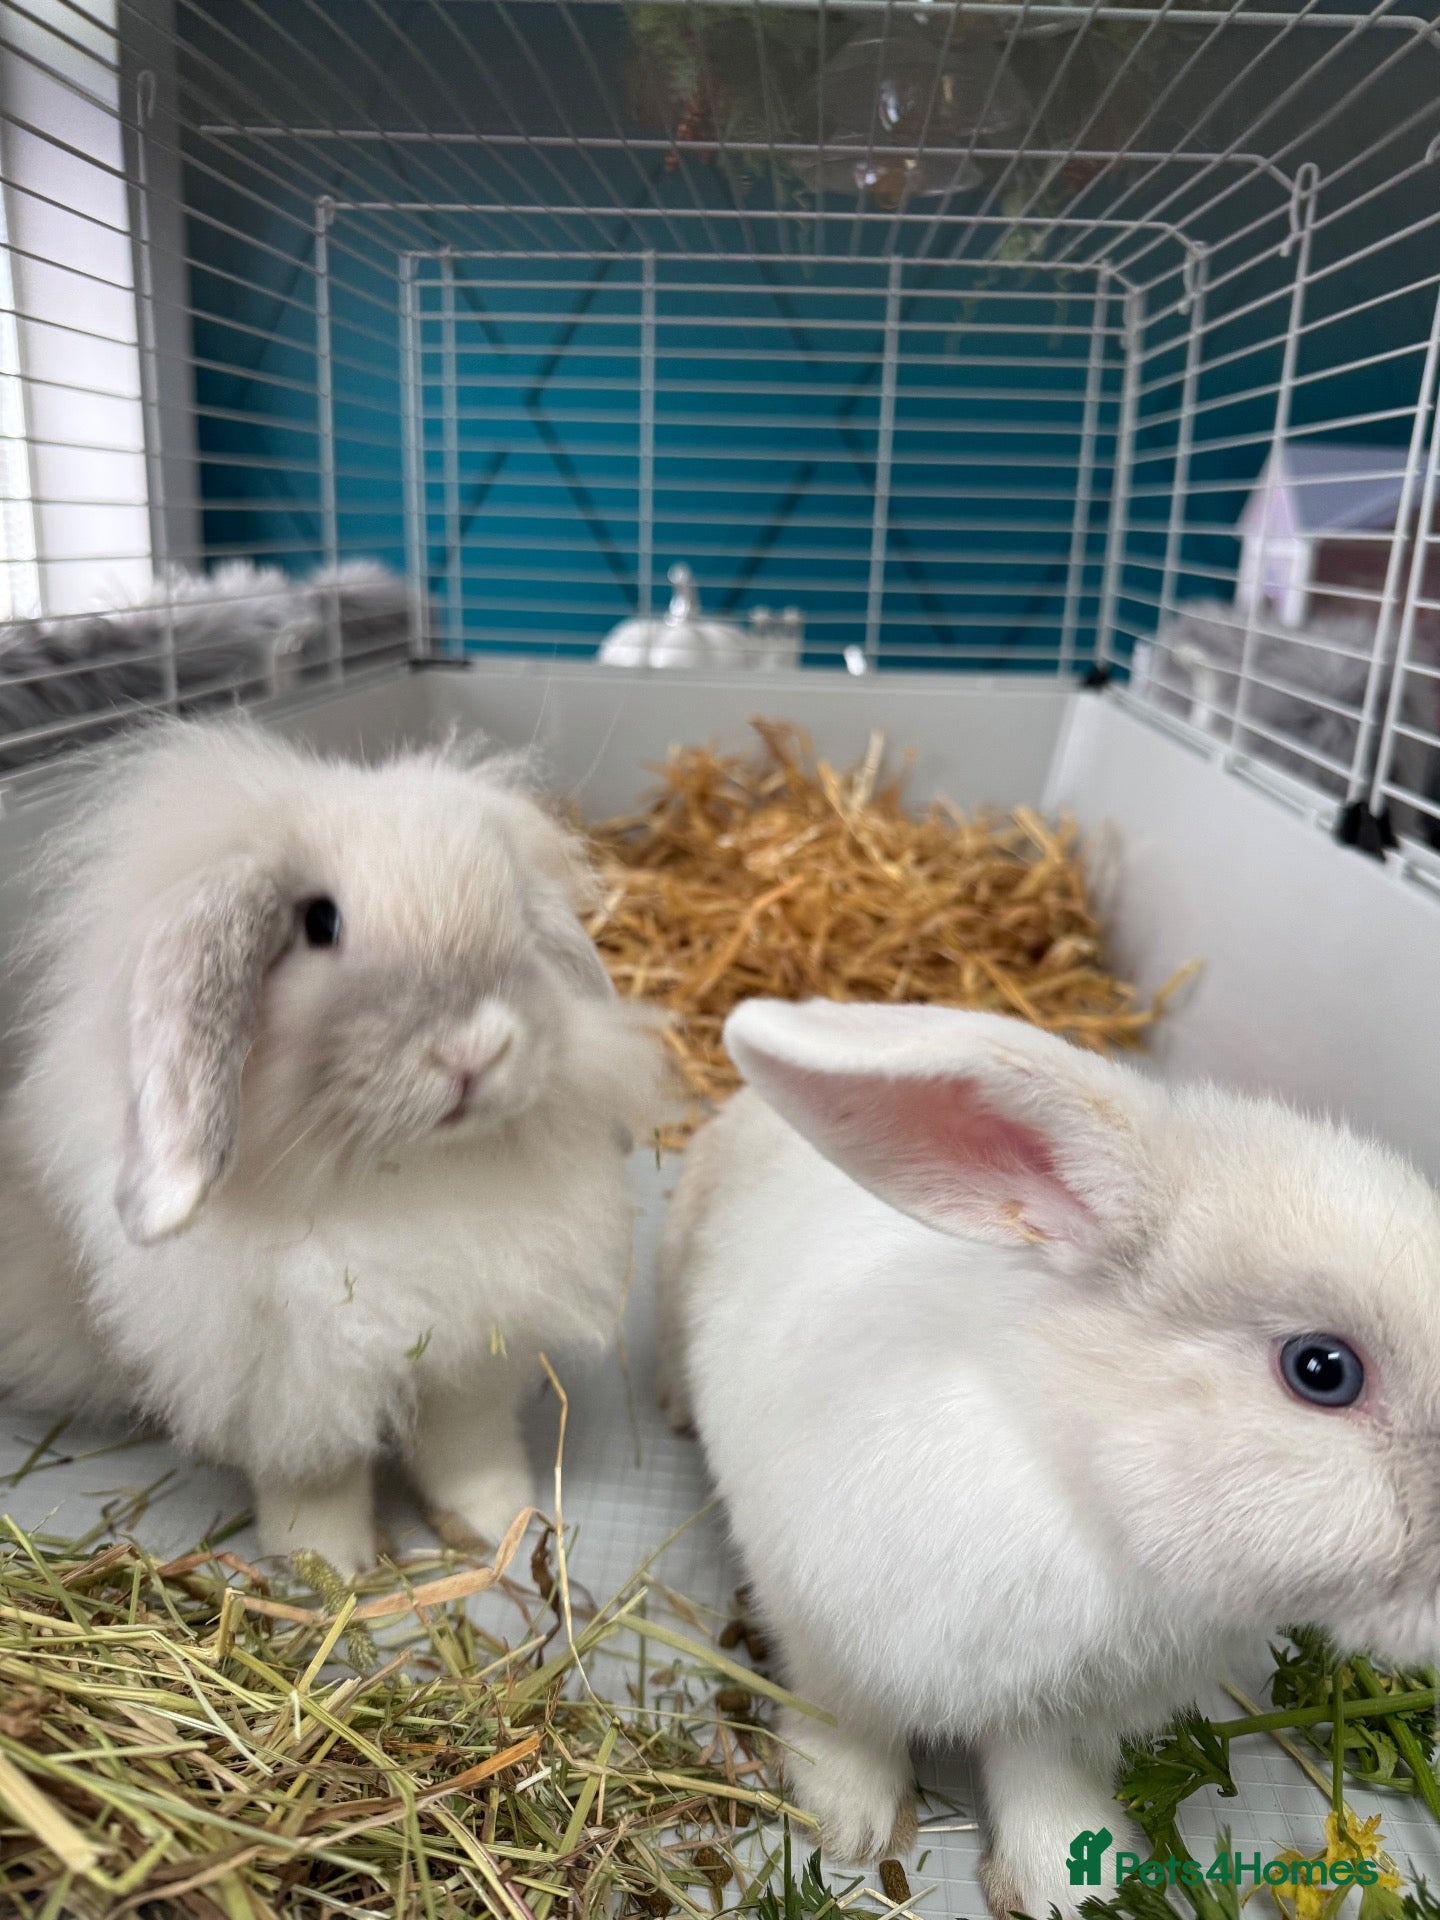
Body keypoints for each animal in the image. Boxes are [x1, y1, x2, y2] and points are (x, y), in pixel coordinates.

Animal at [0, 718, 663, 1573]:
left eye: (517, 917)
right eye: (319, 923)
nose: (475, 1050)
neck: (400, 1176)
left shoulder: (470, 1355)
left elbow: (466, 1447)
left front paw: (494, 1522)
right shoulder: (290, 1379)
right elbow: (317, 1474)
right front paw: (330, 1564)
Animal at [656, 997, 1440, 1920]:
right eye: (1323, 1370)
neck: (1073, 1480)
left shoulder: (1065, 1713)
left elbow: (1042, 1783)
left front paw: (1066, 1883)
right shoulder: (818, 1625)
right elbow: (845, 1719)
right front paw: (848, 1822)